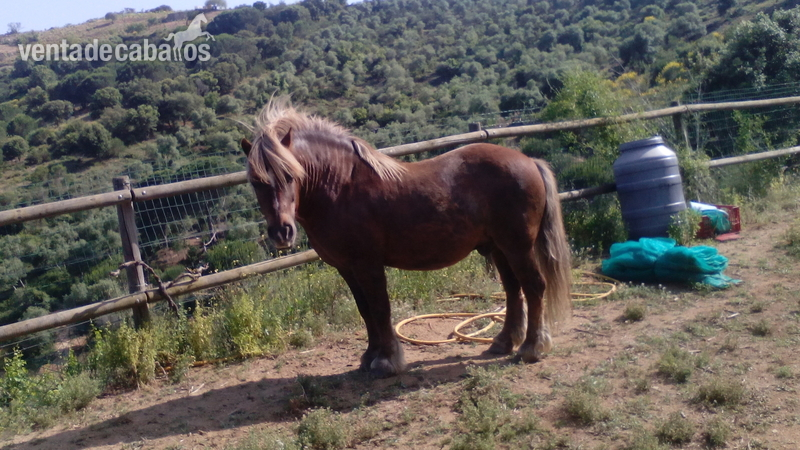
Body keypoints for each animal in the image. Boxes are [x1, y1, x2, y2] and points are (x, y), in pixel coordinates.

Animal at [242, 98, 572, 377]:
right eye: (256, 181)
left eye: (290, 175)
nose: (282, 232)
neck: (340, 186)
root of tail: (528, 161)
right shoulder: (346, 268)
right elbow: (365, 310)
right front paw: (369, 357)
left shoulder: (368, 264)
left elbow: (380, 308)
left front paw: (388, 360)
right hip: (500, 247)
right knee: (513, 290)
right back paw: (503, 343)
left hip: (518, 246)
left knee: (534, 286)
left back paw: (531, 348)